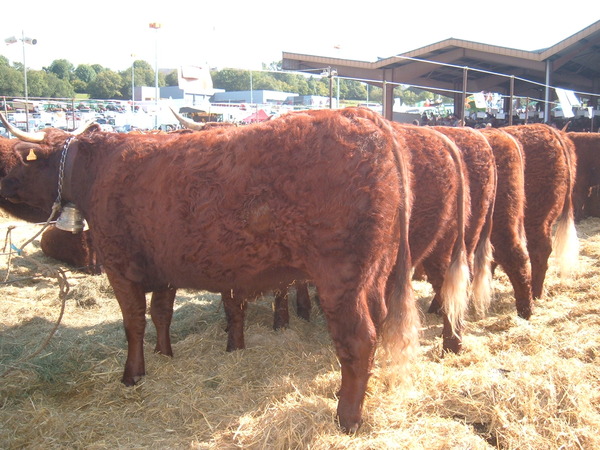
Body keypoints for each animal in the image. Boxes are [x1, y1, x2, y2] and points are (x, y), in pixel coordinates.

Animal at [1, 108, 418, 432]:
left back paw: (347, 417)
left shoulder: (120, 267)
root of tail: (360, 116)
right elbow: (161, 313)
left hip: (341, 279)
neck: (96, 170)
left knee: (358, 339)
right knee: (376, 326)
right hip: (373, 274)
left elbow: (133, 323)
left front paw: (133, 374)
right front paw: (164, 354)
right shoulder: (164, 268)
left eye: (18, 164)